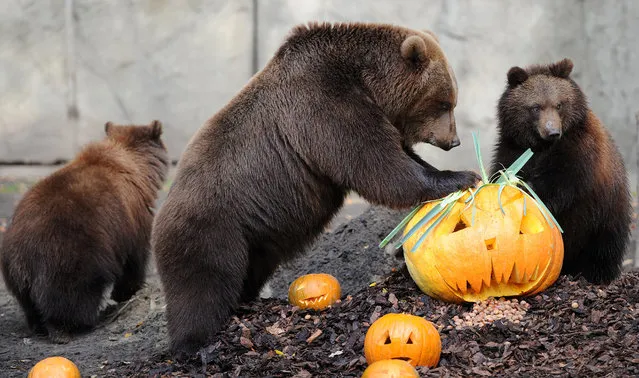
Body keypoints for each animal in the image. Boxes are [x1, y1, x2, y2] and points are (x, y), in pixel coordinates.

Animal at [0, 121, 169, 342]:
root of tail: (22, 252)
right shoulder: (132, 218)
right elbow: (135, 258)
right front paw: (127, 291)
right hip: (71, 254)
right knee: (72, 296)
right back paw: (70, 327)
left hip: (15, 272)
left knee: (28, 302)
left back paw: (38, 325)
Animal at [151, 21, 480, 358]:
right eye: (444, 102)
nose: (454, 141)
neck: (366, 80)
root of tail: (161, 211)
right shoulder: (323, 108)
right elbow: (377, 164)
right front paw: (461, 176)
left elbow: (398, 156)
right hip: (211, 226)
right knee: (202, 285)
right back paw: (191, 343)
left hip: (253, 237)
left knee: (250, 270)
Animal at [492, 57, 632, 284]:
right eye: (535, 107)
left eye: (559, 104)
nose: (552, 131)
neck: (542, 146)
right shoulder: (512, 149)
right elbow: (503, 169)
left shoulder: (578, 151)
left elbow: (559, 185)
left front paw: (528, 189)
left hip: (606, 215)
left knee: (604, 248)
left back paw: (594, 275)